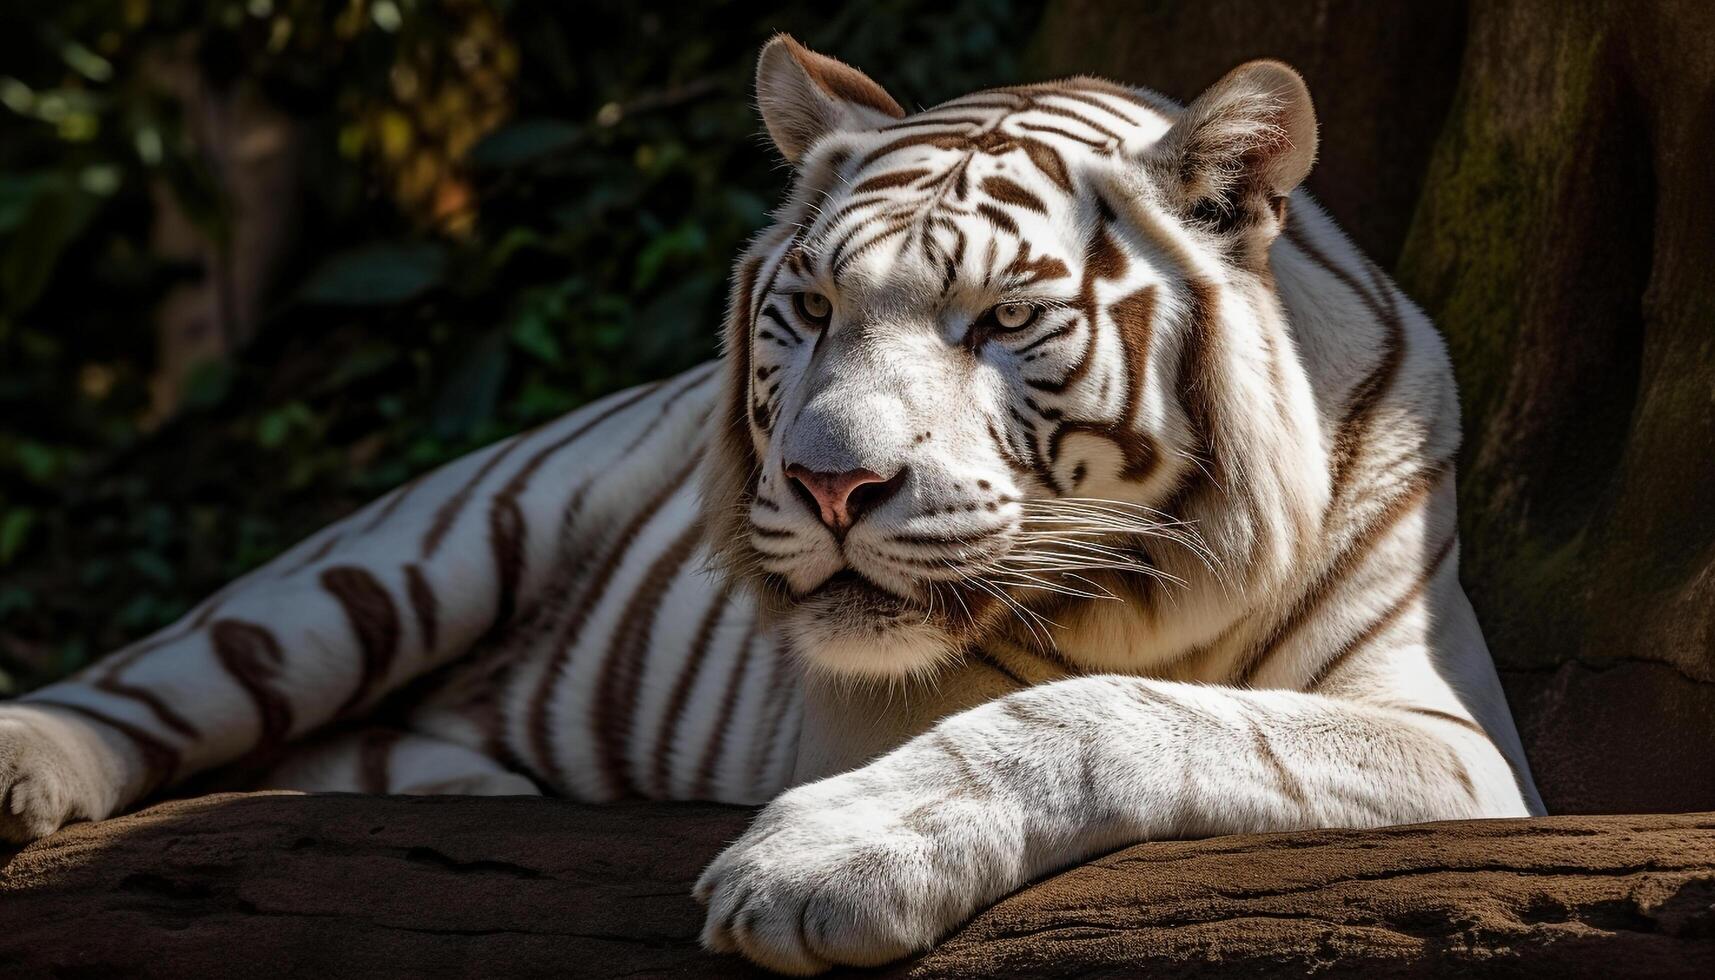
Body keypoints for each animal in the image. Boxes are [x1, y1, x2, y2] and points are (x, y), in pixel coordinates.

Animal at [0, 36, 1543, 974]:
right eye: (807, 309)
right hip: (396, 560)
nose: (828, 479)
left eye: (1001, 319)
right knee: (160, 678)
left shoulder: (1451, 740)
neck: (1154, 588)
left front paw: (819, 862)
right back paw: (31, 765)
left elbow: (1139, 713)